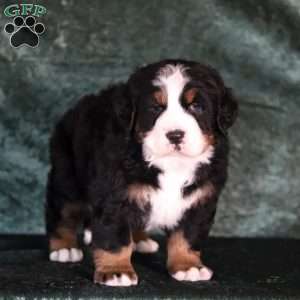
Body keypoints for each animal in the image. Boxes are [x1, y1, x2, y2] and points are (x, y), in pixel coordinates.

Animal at [45, 58, 238, 286]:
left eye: (196, 106)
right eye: (155, 108)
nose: (175, 135)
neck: (172, 164)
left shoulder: (199, 199)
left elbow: (187, 235)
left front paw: (188, 266)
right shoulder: (115, 196)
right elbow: (115, 237)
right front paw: (116, 271)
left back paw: (140, 240)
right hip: (67, 177)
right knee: (62, 213)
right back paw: (64, 248)